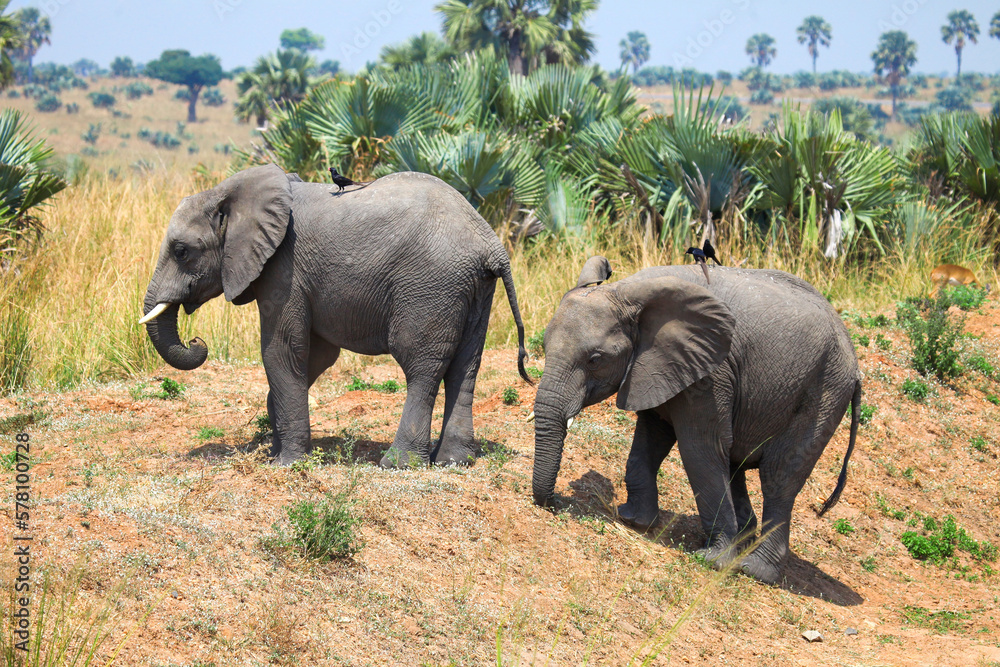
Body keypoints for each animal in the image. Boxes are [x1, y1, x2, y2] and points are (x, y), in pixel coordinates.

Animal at [141, 165, 530, 467]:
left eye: (181, 251)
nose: (196, 341)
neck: (230, 192)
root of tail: (491, 246)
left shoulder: (285, 270)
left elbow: (282, 350)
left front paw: (285, 463)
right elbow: (317, 354)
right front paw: (276, 444)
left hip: (432, 285)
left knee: (421, 366)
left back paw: (398, 463)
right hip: (474, 290)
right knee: (465, 366)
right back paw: (453, 461)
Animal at [531, 256, 861, 584]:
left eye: (595, 359)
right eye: (544, 346)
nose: (554, 503)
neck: (626, 291)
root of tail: (854, 361)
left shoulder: (711, 374)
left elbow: (699, 448)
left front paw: (712, 560)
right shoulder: (660, 366)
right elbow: (652, 436)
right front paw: (633, 520)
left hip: (825, 391)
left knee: (779, 477)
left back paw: (755, 570)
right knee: (735, 464)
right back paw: (744, 542)